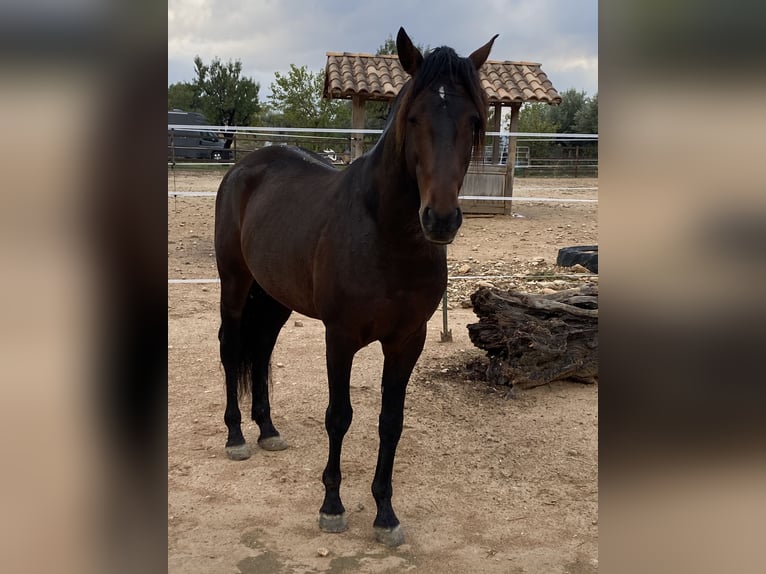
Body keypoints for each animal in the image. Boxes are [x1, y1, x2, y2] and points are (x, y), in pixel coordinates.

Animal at [214, 28, 498, 548]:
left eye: (473, 121)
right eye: (413, 116)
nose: (440, 219)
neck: (385, 235)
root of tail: (247, 166)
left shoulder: (407, 341)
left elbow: (391, 422)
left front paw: (385, 513)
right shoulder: (340, 338)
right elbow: (339, 416)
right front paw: (331, 505)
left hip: (275, 295)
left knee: (260, 348)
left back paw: (267, 429)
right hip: (236, 282)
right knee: (231, 346)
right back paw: (237, 437)